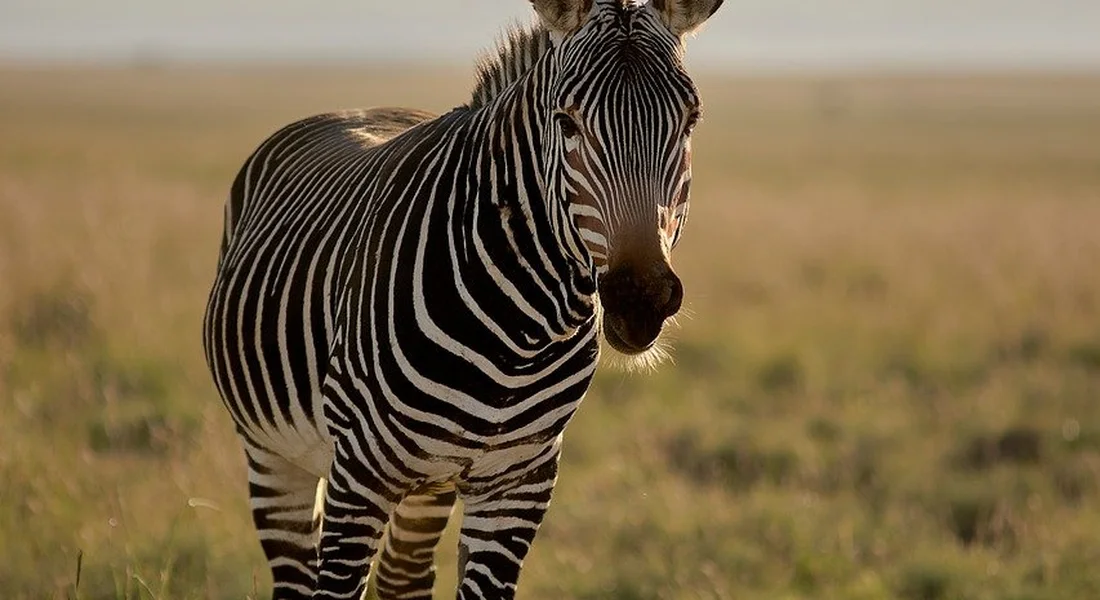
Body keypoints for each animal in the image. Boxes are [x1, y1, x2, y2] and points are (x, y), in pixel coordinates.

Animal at [202, 1, 723, 598]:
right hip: (272, 454)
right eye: (566, 122)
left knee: (403, 576)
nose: (640, 297)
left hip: (430, 483)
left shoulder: (519, 482)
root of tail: (352, 109)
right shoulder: (357, 470)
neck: (521, 335)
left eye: (690, 121)